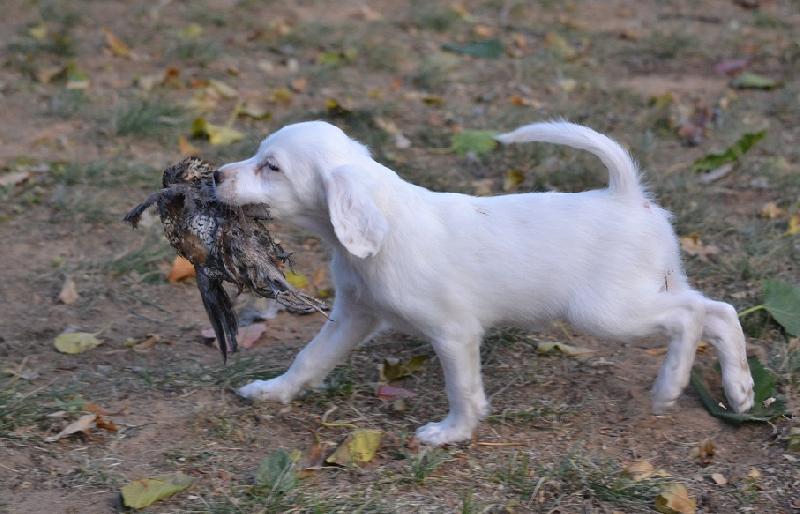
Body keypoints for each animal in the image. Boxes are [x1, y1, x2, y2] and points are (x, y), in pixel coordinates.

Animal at [214, 120, 756, 444]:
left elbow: (462, 389)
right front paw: (273, 391)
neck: (386, 230)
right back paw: (740, 389)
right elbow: (310, 358)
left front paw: (450, 433)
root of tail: (625, 194)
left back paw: (669, 387)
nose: (216, 176)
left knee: (690, 316)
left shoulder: (454, 333)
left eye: (272, 166)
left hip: (606, 312)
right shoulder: (354, 313)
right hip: (646, 290)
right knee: (718, 311)